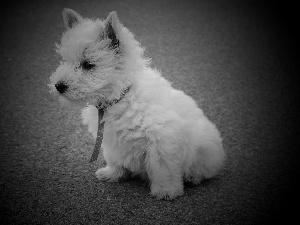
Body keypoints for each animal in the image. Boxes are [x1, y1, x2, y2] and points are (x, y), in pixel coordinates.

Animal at [48, 7, 225, 200]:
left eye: (88, 64)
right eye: (65, 60)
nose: (59, 86)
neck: (121, 97)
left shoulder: (162, 139)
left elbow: (163, 168)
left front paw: (166, 191)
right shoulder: (111, 140)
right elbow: (114, 159)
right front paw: (113, 174)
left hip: (204, 148)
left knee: (204, 169)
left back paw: (193, 177)